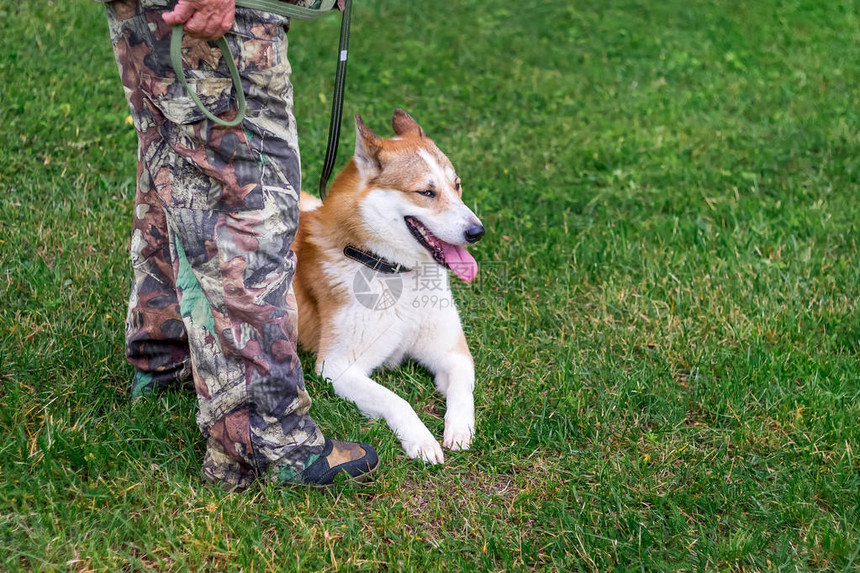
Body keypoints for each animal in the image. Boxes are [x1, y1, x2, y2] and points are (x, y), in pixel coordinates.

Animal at [292, 109, 484, 462]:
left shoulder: (452, 352)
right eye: (426, 192)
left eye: (457, 185)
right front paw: (421, 440)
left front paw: (460, 429)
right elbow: (397, 400)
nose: (477, 232)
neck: (397, 272)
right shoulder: (336, 367)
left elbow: (462, 389)